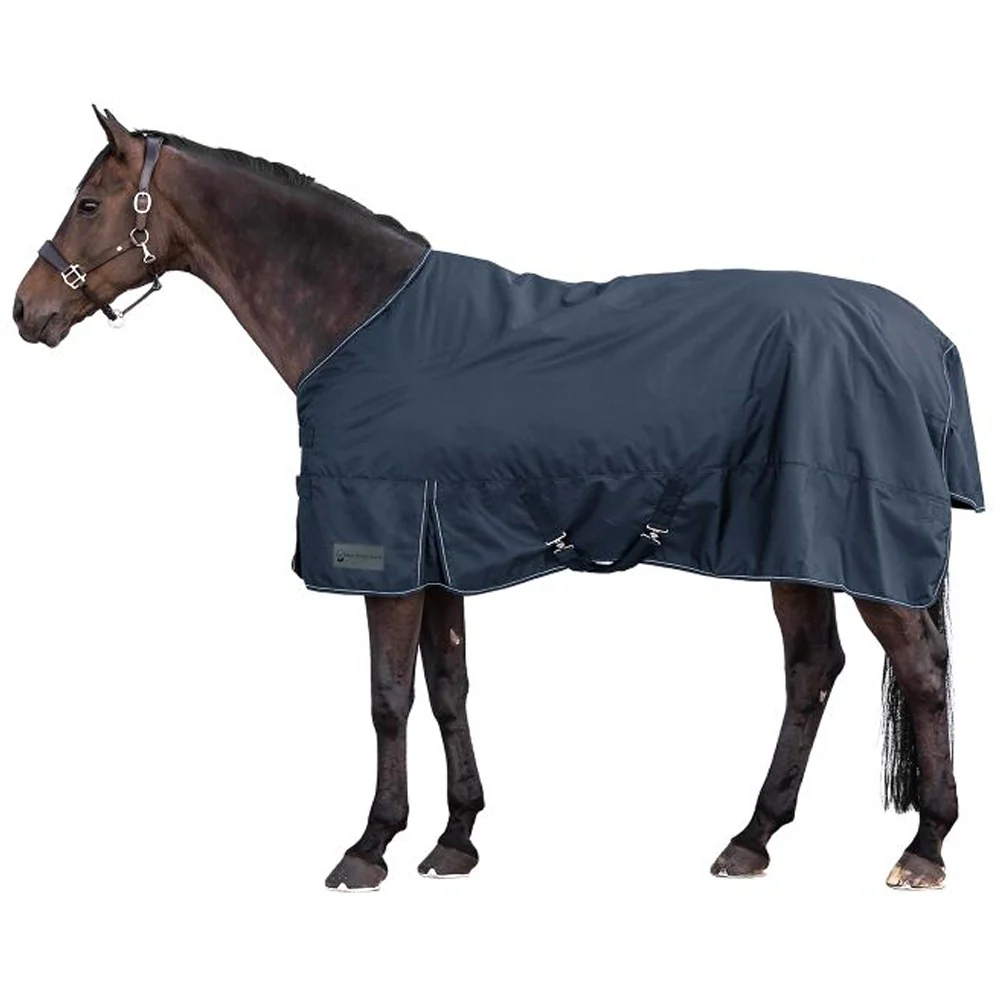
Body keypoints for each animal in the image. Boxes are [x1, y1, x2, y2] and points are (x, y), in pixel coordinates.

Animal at [14, 108, 983, 891]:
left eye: (89, 204)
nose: (27, 310)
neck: (361, 318)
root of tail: (926, 339)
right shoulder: (439, 547)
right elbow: (449, 689)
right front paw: (455, 840)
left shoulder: (386, 552)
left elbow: (388, 700)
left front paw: (369, 847)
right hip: (795, 543)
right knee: (813, 669)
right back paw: (752, 839)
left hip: (856, 546)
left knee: (920, 669)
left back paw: (925, 848)